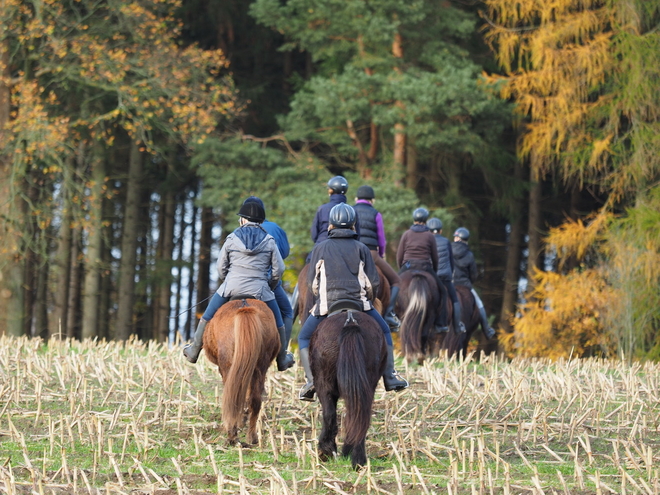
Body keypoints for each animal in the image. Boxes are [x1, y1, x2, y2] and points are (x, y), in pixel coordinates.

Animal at [204, 298, 282, 446]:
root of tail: (245, 307)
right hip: (260, 367)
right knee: (254, 400)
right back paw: (252, 437)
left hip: (228, 367)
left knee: (232, 399)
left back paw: (232, 437)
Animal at [310, 308, 386, 470]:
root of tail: (350, 321)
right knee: (360, 415)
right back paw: (357, 459)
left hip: (323, 383)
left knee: (329, 414)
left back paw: (325, 451)